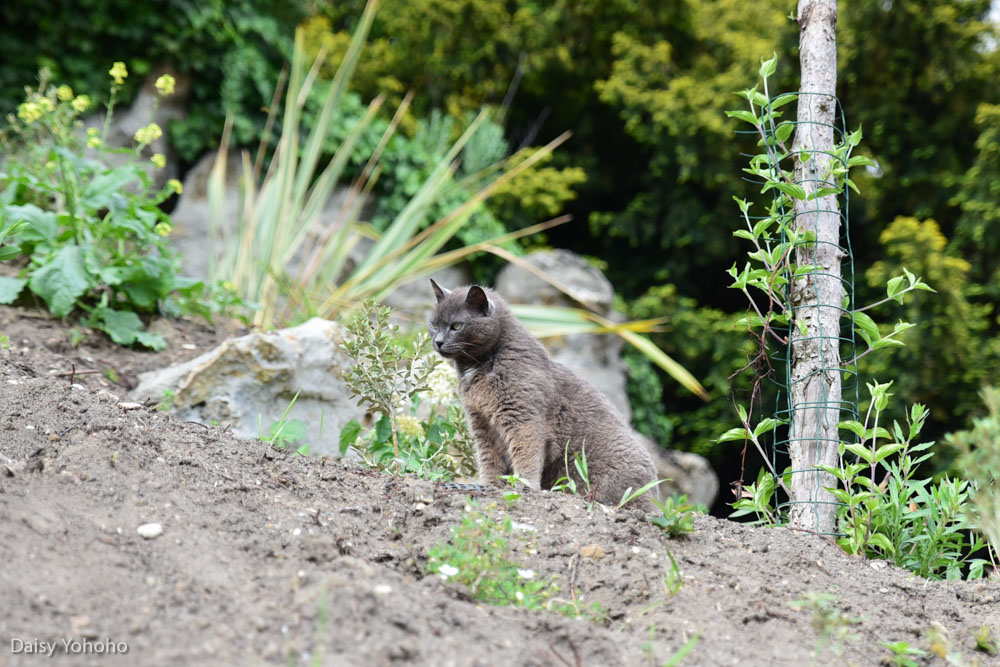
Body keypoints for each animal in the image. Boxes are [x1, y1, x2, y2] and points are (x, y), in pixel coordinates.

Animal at [428, 280, 656, 508]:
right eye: (434, 325)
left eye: (457, 326)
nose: (438, 341)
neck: (480, 365)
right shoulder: (481, 423)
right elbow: (488, 459)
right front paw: (490, 485)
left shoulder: (522, 416)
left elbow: (525, 454)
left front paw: (524, 488)